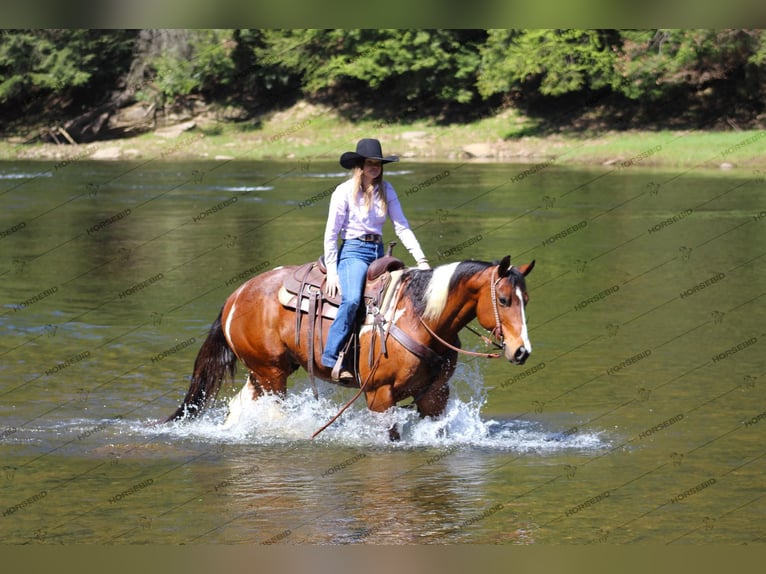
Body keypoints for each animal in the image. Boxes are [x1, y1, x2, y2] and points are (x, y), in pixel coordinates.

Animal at [165, 254, 536, 438]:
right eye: (504, 299)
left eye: (526, 300)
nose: (522, 351)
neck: (420, 317)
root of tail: (237, 295)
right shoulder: (379, 395)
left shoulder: (434, 394)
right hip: (271, 374)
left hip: (264, 372)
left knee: (239, 406)